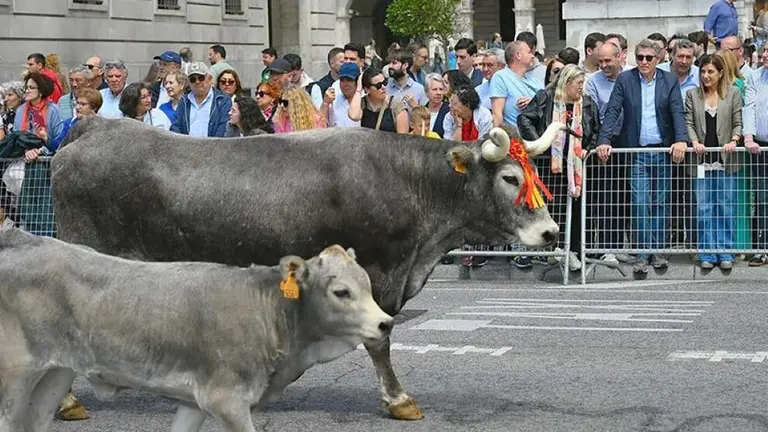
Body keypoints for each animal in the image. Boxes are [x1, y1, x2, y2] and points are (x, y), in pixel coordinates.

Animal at [0, 227, 392, 432]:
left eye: (368, 284)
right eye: (341, 292)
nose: (386, 322)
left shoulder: (194, 401)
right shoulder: (227, 400)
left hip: (56, 372)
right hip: (16, 374)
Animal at [50, 116, 569, 421]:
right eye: (510, 179)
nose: (551, 233)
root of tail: (94, 128)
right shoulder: (376, 275)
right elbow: (379, 340)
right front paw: (398, 400)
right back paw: (69, 401)